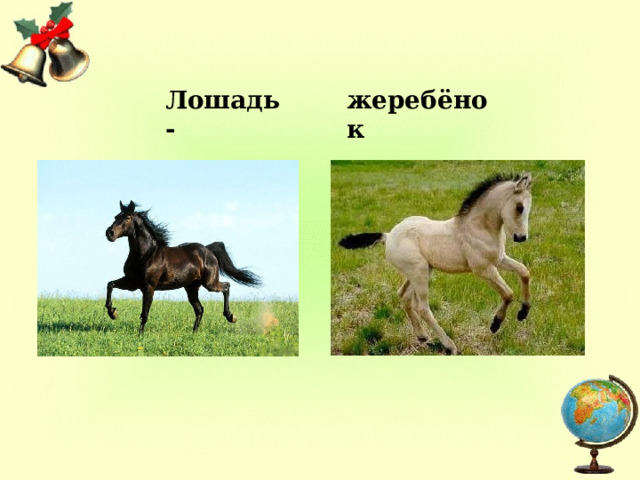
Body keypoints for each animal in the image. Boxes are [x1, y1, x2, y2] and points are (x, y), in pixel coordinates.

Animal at [105, 201, 261, 334]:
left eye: (127, 217)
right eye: (116, 216)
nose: (109, 233)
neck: (146, 254)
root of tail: (208, 250)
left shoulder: (148, 286)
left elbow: (144, 313)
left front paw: (140, 335)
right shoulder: (133, 282)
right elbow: (110, 284)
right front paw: (113, 313)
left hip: (210, 283)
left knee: (226, 286)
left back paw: (231, 317)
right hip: (191, 288)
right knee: (199, 309)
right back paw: (194, 333)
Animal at [338, 172, 533, 355]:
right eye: (519, 207)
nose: (521, 237)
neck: (478, 227)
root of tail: (388, 236)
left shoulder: (499, 259)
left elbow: (524, 272)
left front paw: (523, 312)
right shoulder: (483, 268)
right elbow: (508, 293)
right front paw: (495, 324)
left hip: (420, 271)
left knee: (404, 296)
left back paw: (423, 337)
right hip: (419, 272)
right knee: (423, 308)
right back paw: (450, 346)